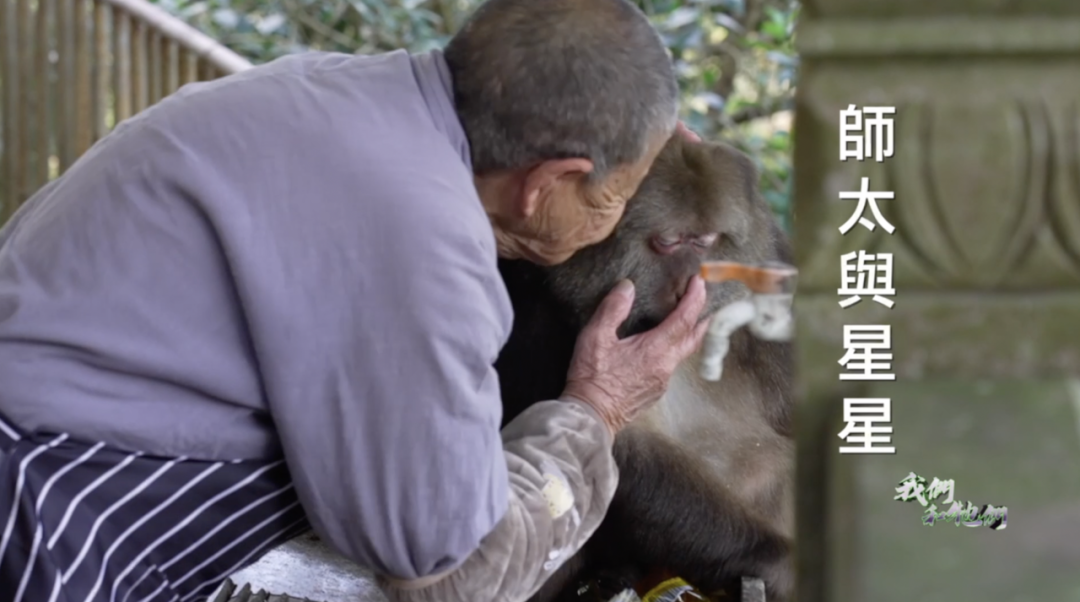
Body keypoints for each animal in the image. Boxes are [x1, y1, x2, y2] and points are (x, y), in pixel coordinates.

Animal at [494, 136, 794, 600]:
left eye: (705, 241)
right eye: (668, 242)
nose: (693, 282)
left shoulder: (770, 259)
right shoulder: (537, 309)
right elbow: (614, 453)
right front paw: (778, 562)